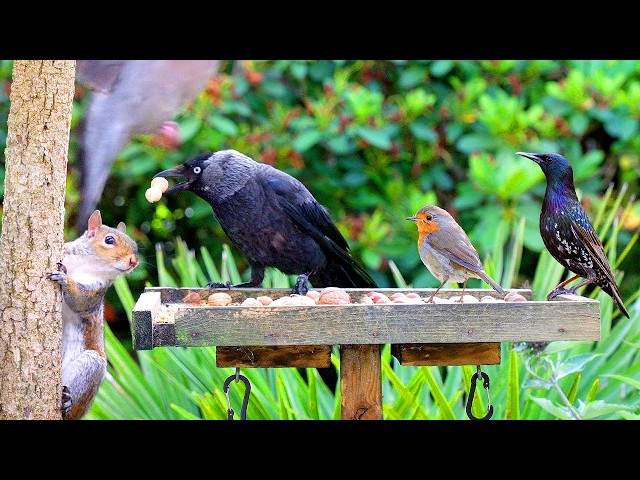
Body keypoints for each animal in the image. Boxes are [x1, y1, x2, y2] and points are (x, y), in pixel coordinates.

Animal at [48, 209, 139, 420]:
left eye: (135, 245)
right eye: (109, 240)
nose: (134, 261)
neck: (86, 265)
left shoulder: (95, 293)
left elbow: (80, 300)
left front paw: (65, 279)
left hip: (92, 367)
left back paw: (66, 403)